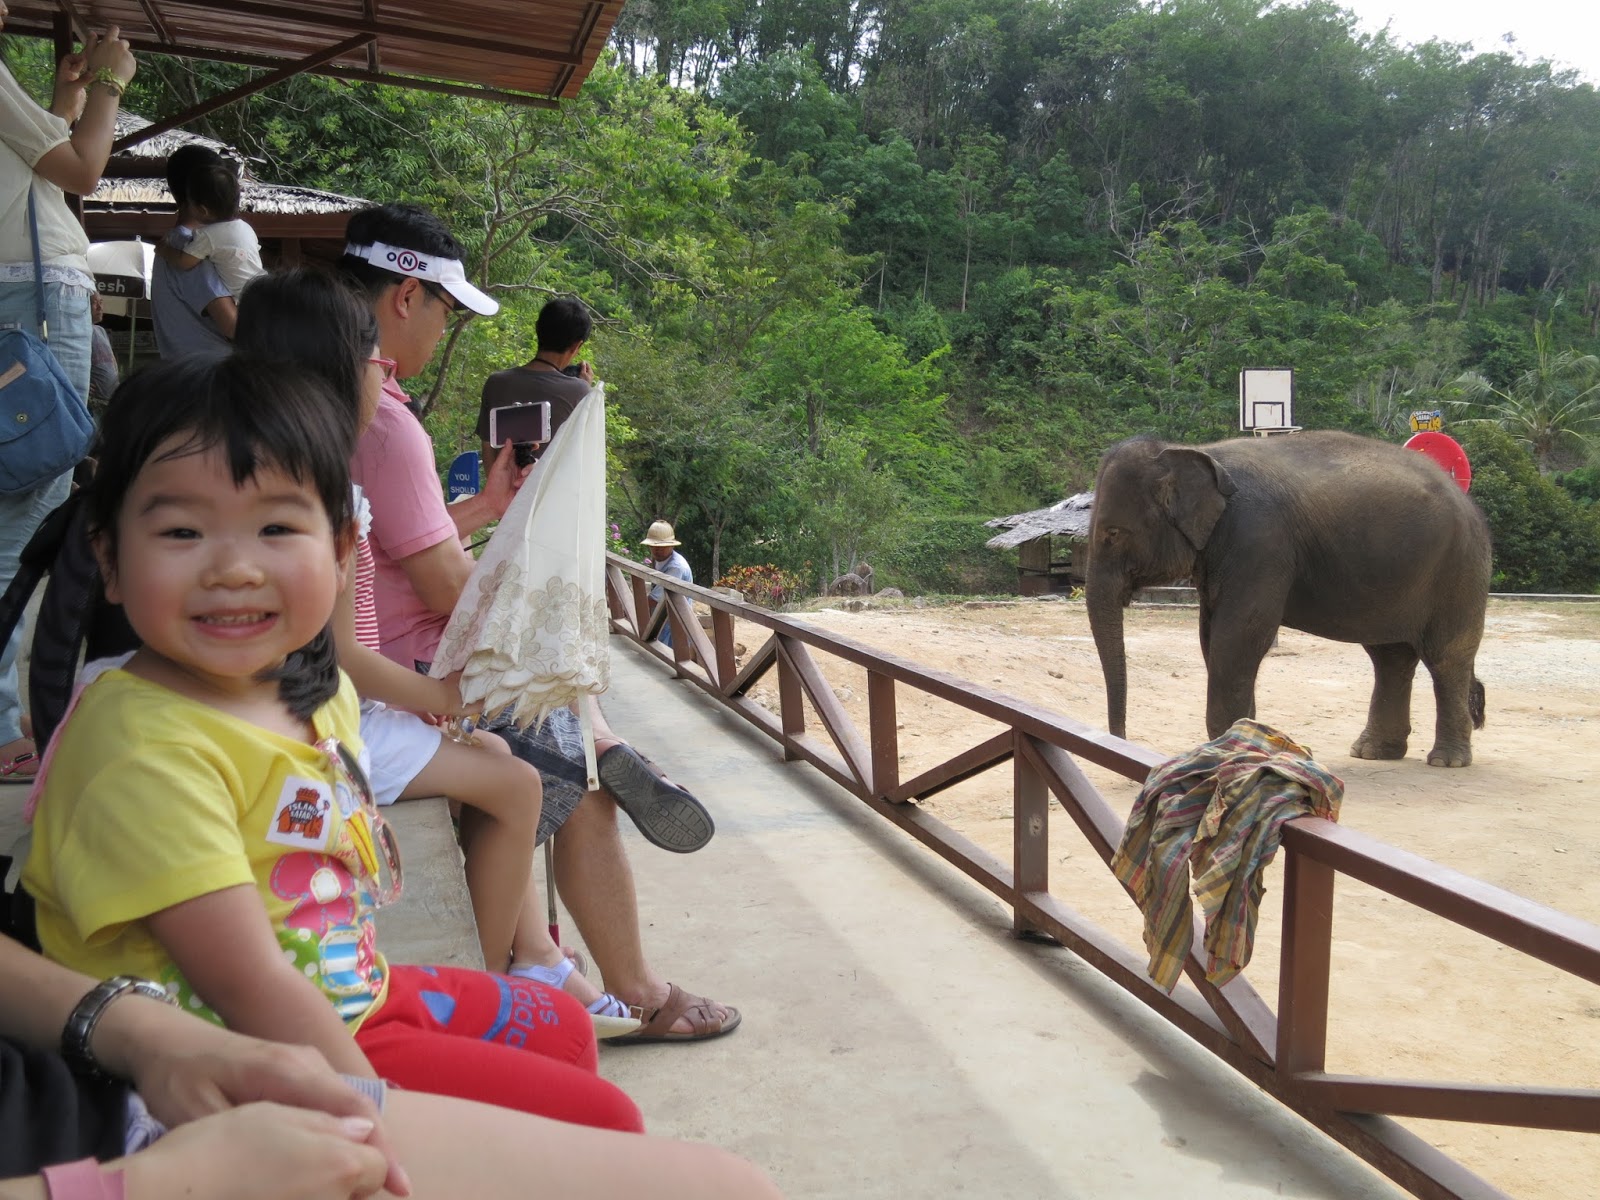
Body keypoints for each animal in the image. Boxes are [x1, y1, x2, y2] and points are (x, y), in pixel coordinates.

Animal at [1084, 431, 1490, 766]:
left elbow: (1239, 635)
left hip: (1459, 568)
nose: (1121, 743)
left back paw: (1447, 761)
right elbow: (1212, 636)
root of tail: (1467, 501)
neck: (1194, 449)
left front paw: (1227, 750)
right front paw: (1242, 740)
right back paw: (1373, 753)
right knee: (1390, 656)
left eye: (1113, 533)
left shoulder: (1260, 540)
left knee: (1445, 656)